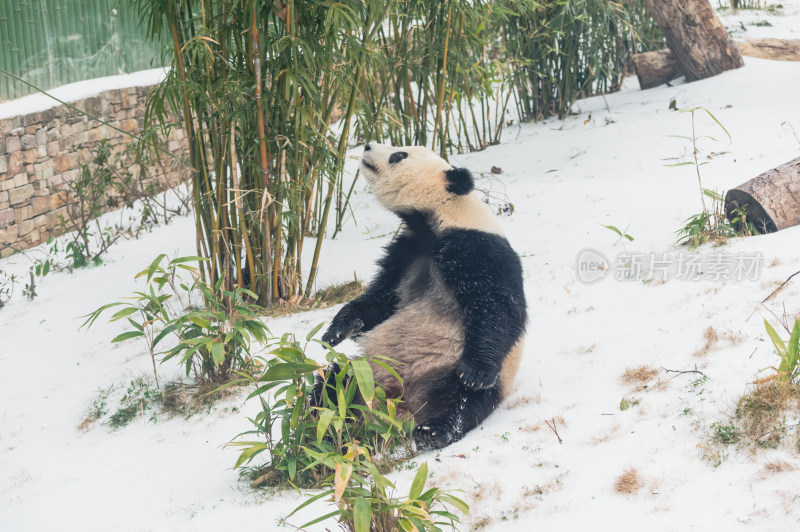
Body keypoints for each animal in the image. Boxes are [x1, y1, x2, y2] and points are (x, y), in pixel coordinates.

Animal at [322, 142, 528, 448]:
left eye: (399, 155)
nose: (368, 145)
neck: (437, 217)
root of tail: (402, 407)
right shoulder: (407, 252)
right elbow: (381, 300)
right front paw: (336, 331)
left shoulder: (477, 247)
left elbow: (500, 306)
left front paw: (476, 372)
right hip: (365, 374)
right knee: (335, 382)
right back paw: (323, 421)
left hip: (452, 369)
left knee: (464, 401)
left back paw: (435, 431)